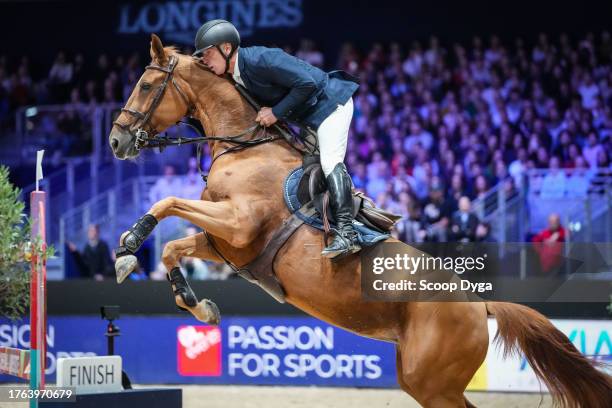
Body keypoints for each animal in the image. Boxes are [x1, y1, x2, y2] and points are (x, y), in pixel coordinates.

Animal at [107, 35, 608, 408]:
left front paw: (128, 244)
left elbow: (167, 202)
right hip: (422, 381)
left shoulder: (238, 224)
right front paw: (196, 304)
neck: (243, 146)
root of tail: (480, 303)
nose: (115, 141)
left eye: (146, 85)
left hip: (433, 382)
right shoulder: (225, 243)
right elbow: (173, 246)